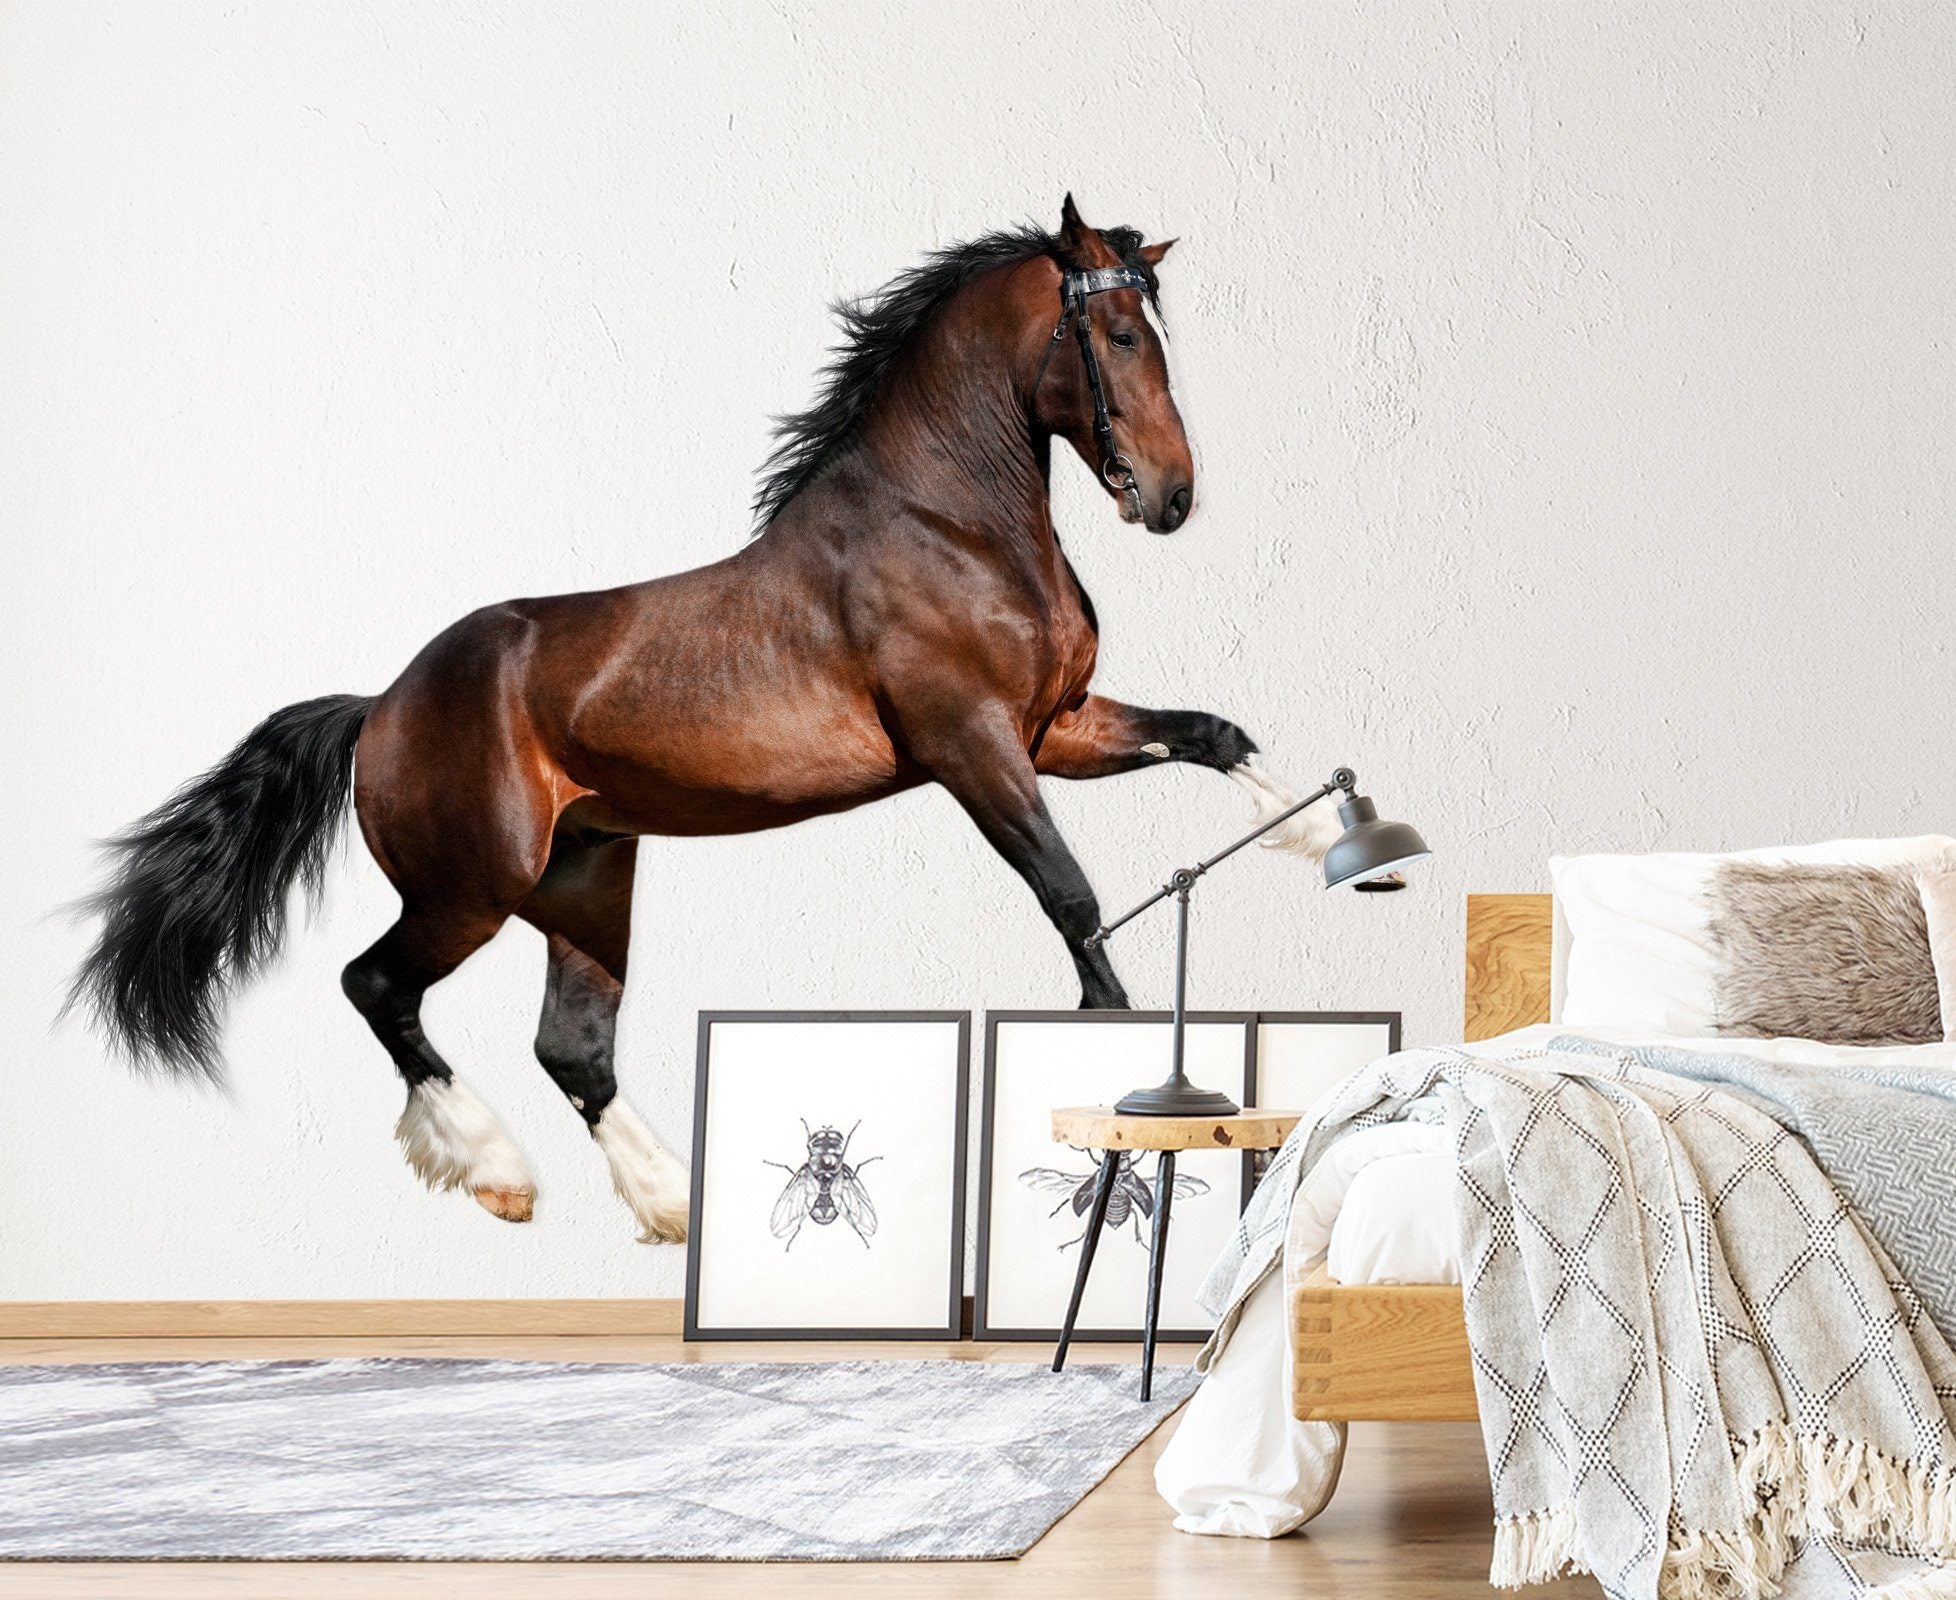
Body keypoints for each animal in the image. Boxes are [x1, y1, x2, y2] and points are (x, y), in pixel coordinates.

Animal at [70, 196, 1337, 1244]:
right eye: (1117, 336)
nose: (1169, 496)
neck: (948, 524)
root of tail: (382, 704)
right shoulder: (974, 747)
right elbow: (1072, 898)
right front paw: (1104, 1040)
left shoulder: (1053, 730)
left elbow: (1214, 734)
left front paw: (1327, 836)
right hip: (470, 886)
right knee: (378, 988)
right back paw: (500, 1176)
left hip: (586, 878)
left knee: (571, 1048)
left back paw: (674, 1205)